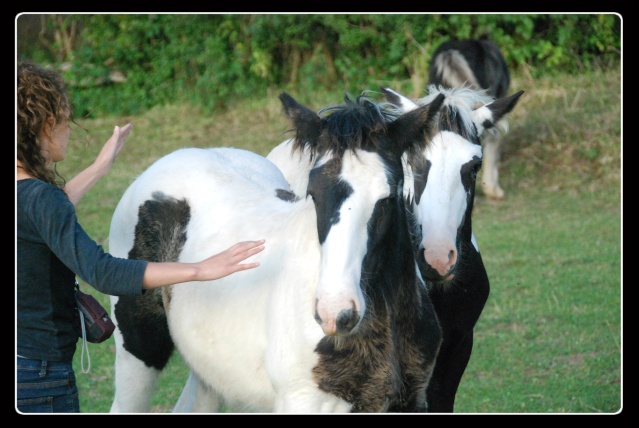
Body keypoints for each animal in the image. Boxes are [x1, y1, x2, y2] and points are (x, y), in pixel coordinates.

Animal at [106, 92, 444, 412]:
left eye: (388, 197)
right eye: (313, 194)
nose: (336, 313)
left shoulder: (413, 400)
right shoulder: (303, 401)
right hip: (138, 347)